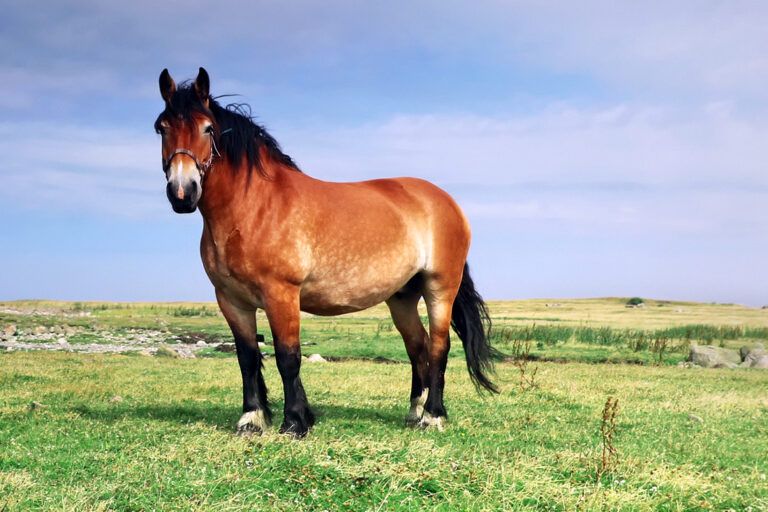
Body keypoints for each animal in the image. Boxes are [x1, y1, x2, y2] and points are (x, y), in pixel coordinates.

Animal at [155, 67, 498, 437]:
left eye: (207, 128)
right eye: (161, 127)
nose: (182, 192)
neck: (254, 207)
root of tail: (446, 201)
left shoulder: (281, 295)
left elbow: (287, 356)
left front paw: (294, 422)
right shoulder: (230, 300)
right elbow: (247, 357)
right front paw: (253, 418)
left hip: (439, 287)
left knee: (438, 346)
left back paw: (432, 415)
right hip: (402, 296)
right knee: (417, 346)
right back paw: (414, 411)